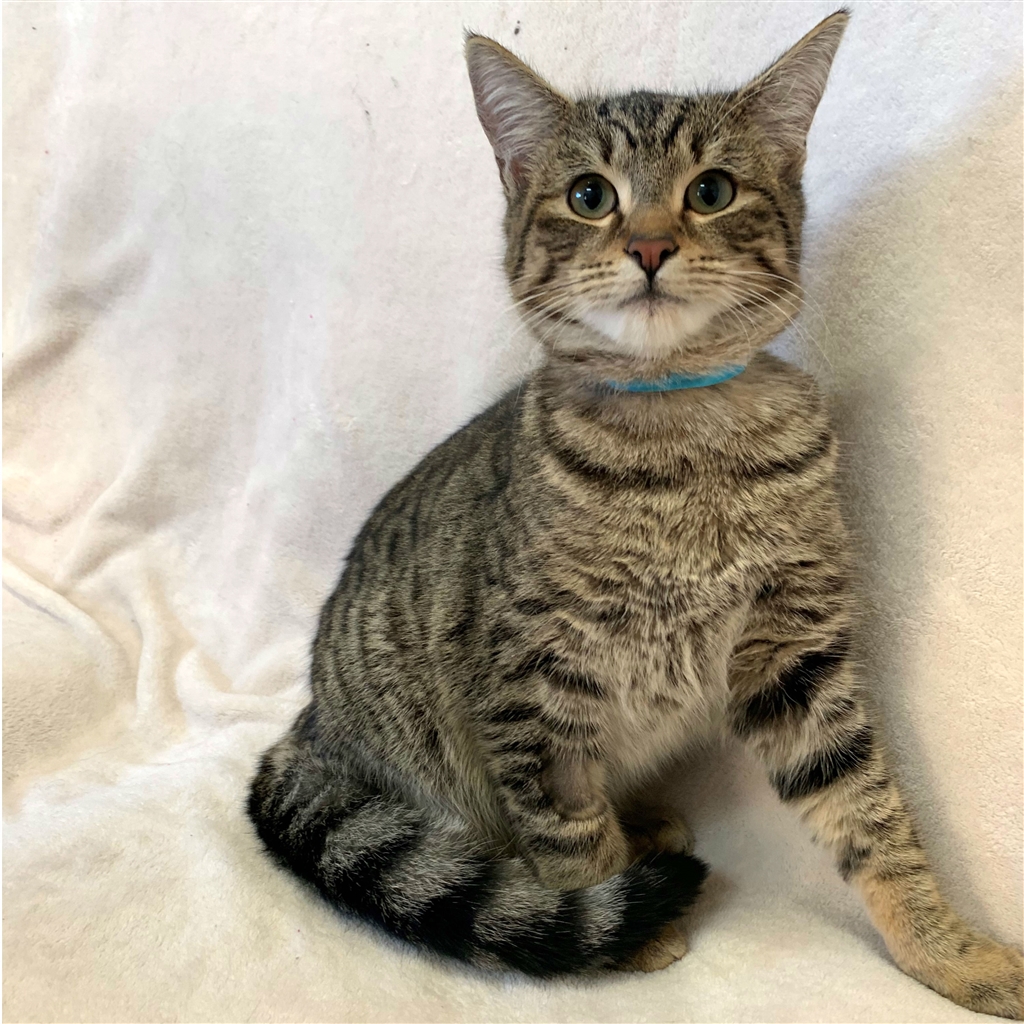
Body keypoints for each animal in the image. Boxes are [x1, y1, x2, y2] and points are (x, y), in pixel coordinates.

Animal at [248, 11, 1024, 1017]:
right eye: (590, 195)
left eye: (713, 190)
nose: (651, 246)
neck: (685, 440)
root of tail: (308, 726)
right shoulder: (531, 680)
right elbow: (564, 828)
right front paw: (610, 928)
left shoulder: (797, 652)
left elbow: (870, 810)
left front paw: (950, 951)